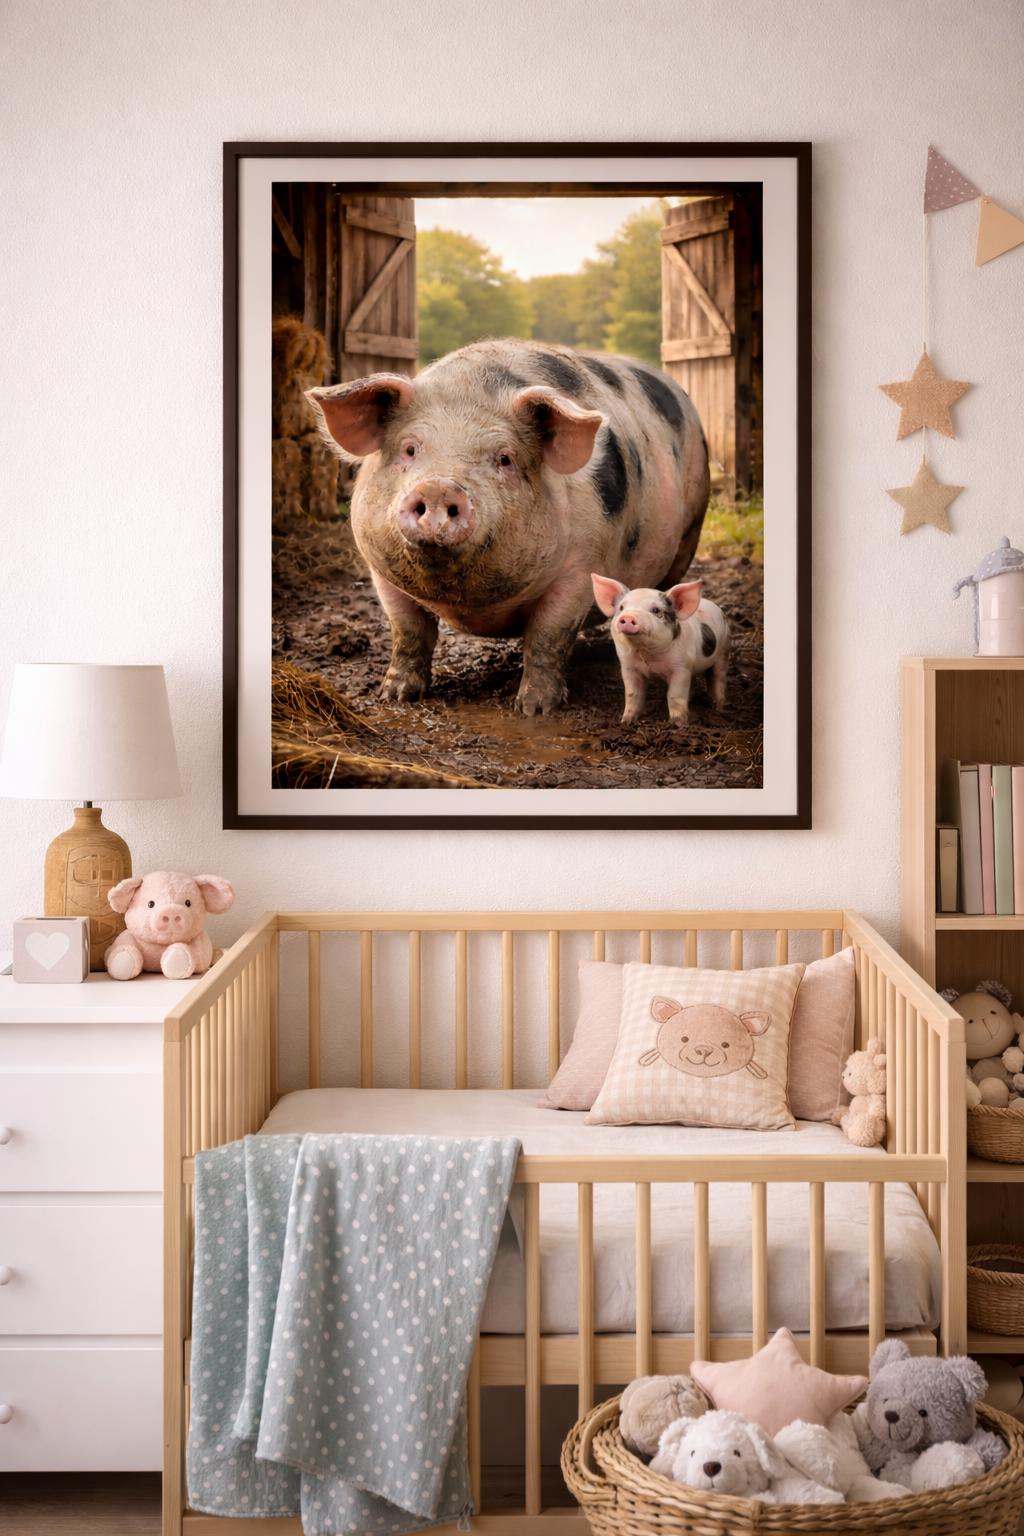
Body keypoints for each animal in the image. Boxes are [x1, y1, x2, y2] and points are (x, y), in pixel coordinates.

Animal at [306, 339, 709, 715]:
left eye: (504, 458)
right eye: (409, 449)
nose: (439, 487)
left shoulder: (581, 570)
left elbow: (549, 636)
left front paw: (535, 709)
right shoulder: (381, 573)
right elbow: (408, 631)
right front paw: (394, 696)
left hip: (689, 533)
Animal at [591, 574, 729, 726]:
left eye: (656, 610)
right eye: (621, 607)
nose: (628, 616)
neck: (647, 655)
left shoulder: (681, 668)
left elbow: (674, 695)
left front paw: (678, 724)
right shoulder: (628, 667)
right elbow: (632, 693)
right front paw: (626, 722)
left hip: (723, 650)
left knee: (718, 677)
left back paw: (719, 708)